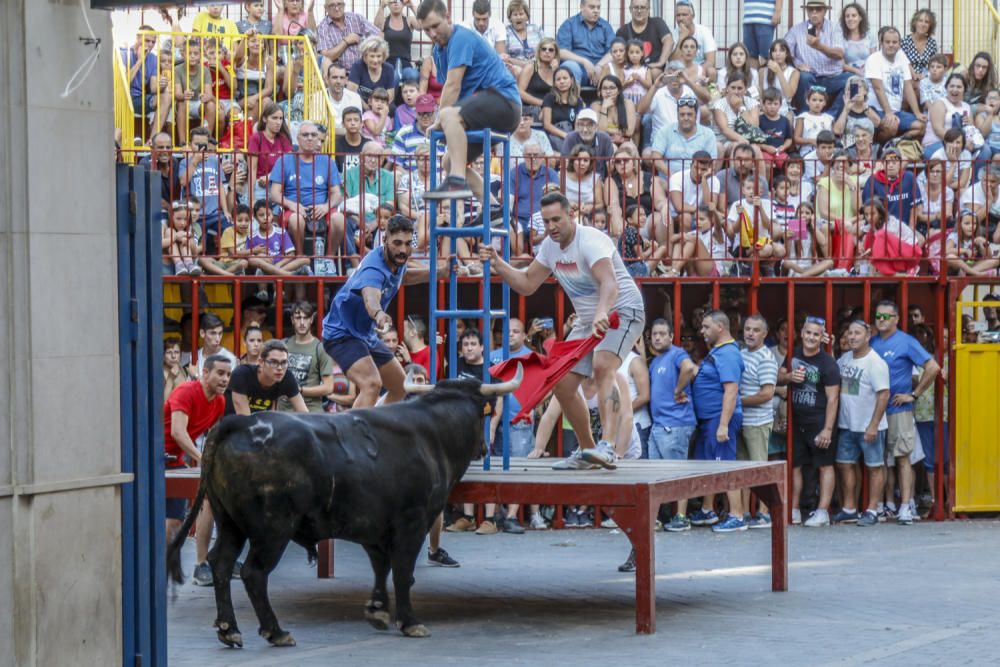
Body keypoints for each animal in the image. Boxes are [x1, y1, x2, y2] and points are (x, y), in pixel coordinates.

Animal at [164, 368, 524, 648]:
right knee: (253, 573)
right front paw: (409, 622)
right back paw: (275, 631)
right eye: (484, 412)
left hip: (230, 522)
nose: (483, 448)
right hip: (272, 528)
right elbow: (402, 571)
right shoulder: (412, 522)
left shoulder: (372, 526)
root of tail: (239, 424)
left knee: (222, 564)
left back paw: (230, 630)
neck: (431, 435)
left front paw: (377, 610)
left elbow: (381, 566)